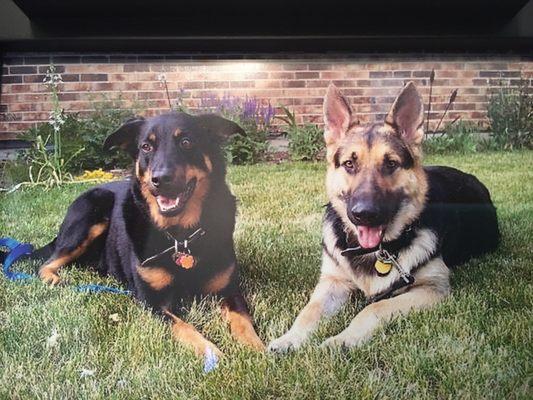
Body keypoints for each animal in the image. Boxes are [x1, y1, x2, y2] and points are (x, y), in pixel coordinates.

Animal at [27, 111, 264, 356]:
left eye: (186, 142)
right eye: (146, 147)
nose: (160, 179)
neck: (181, 236)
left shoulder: (229, 290)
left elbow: (242, 321)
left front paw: (256, 350)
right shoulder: (151, 301)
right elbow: (184, 327)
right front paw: (212, 353)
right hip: (92, 211)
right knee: (46, 262)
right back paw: (52, 277)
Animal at [270, 83, 498, 352]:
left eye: (390, 164)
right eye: (349, 164)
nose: (364, 214)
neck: (375, 251)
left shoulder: (432, 288)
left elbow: (374, 307)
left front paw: (343, 339)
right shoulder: (332, 283)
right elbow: (309, 311)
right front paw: (289, 338)